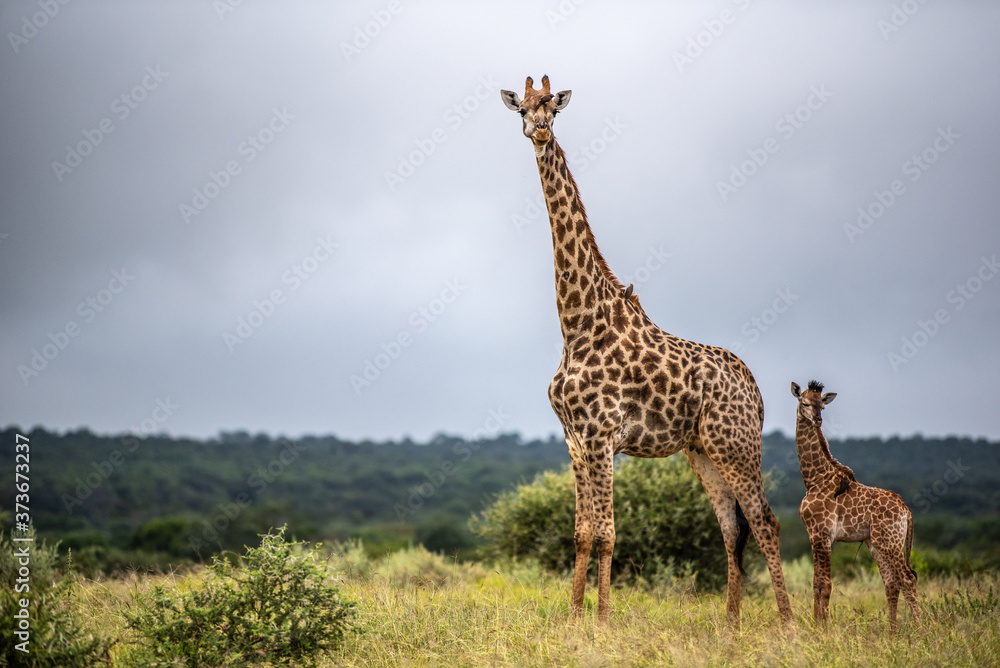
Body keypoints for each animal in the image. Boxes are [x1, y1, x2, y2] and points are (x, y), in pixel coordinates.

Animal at [501, 75, 793, 628]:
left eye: (553, 107)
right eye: (521, 110)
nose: (540, 130)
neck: (576, 325)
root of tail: (758, 390)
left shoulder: (601, 437)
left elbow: (607, 533)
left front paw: (600, 621)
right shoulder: (574, 440)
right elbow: (581, 533)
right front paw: (573, 620)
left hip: (737, 444)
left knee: (766, 521)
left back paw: (788, 626)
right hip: (702, 449)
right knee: (732, 527)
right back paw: (730, 626)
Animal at [791, 380, 920, 634]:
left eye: (822, 405)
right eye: (805, 402)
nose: (818, 420)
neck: (814, 479)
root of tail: (906, 511)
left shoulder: (822, 534)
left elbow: (824, 584)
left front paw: (822, 631)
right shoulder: (815, 535)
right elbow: (816, 582)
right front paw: (817, 626)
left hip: (890, 542)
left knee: (908, 579)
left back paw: (924, 630)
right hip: (876, 543)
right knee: (892, 582)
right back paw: (892, 634)